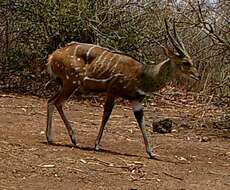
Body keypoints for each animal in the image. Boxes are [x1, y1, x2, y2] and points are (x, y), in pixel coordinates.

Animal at [46, 20, 199, 158]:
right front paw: (97, 145)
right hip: (71, 83)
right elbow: (106, 114)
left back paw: (50, 138)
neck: (142, 74)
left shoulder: (136, 100)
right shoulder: (113, 91)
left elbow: (141, 121)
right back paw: (73, 138)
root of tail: (52, 56)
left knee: (50, 101)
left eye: (191, 60)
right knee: (58, 102)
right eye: (185, 62)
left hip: (64, 84)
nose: (198, 75)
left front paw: (151, 152)